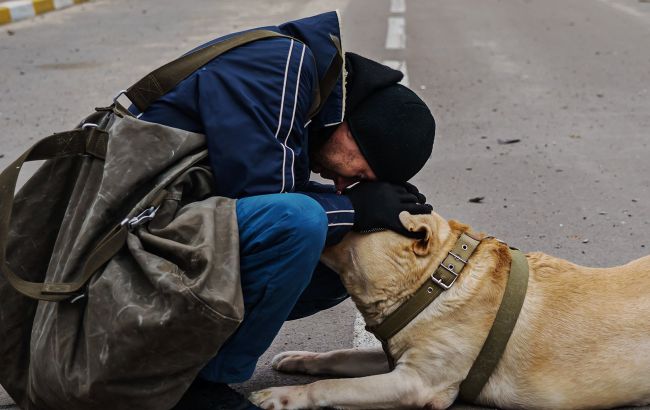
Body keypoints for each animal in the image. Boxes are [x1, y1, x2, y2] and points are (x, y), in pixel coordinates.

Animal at [247, 210, 648, 408]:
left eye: (358, 221)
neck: (434, 282)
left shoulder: (416, 383)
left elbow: (330, 388)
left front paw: (285, 396)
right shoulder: (398, 358)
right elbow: (339, 357)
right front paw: (299, 360)